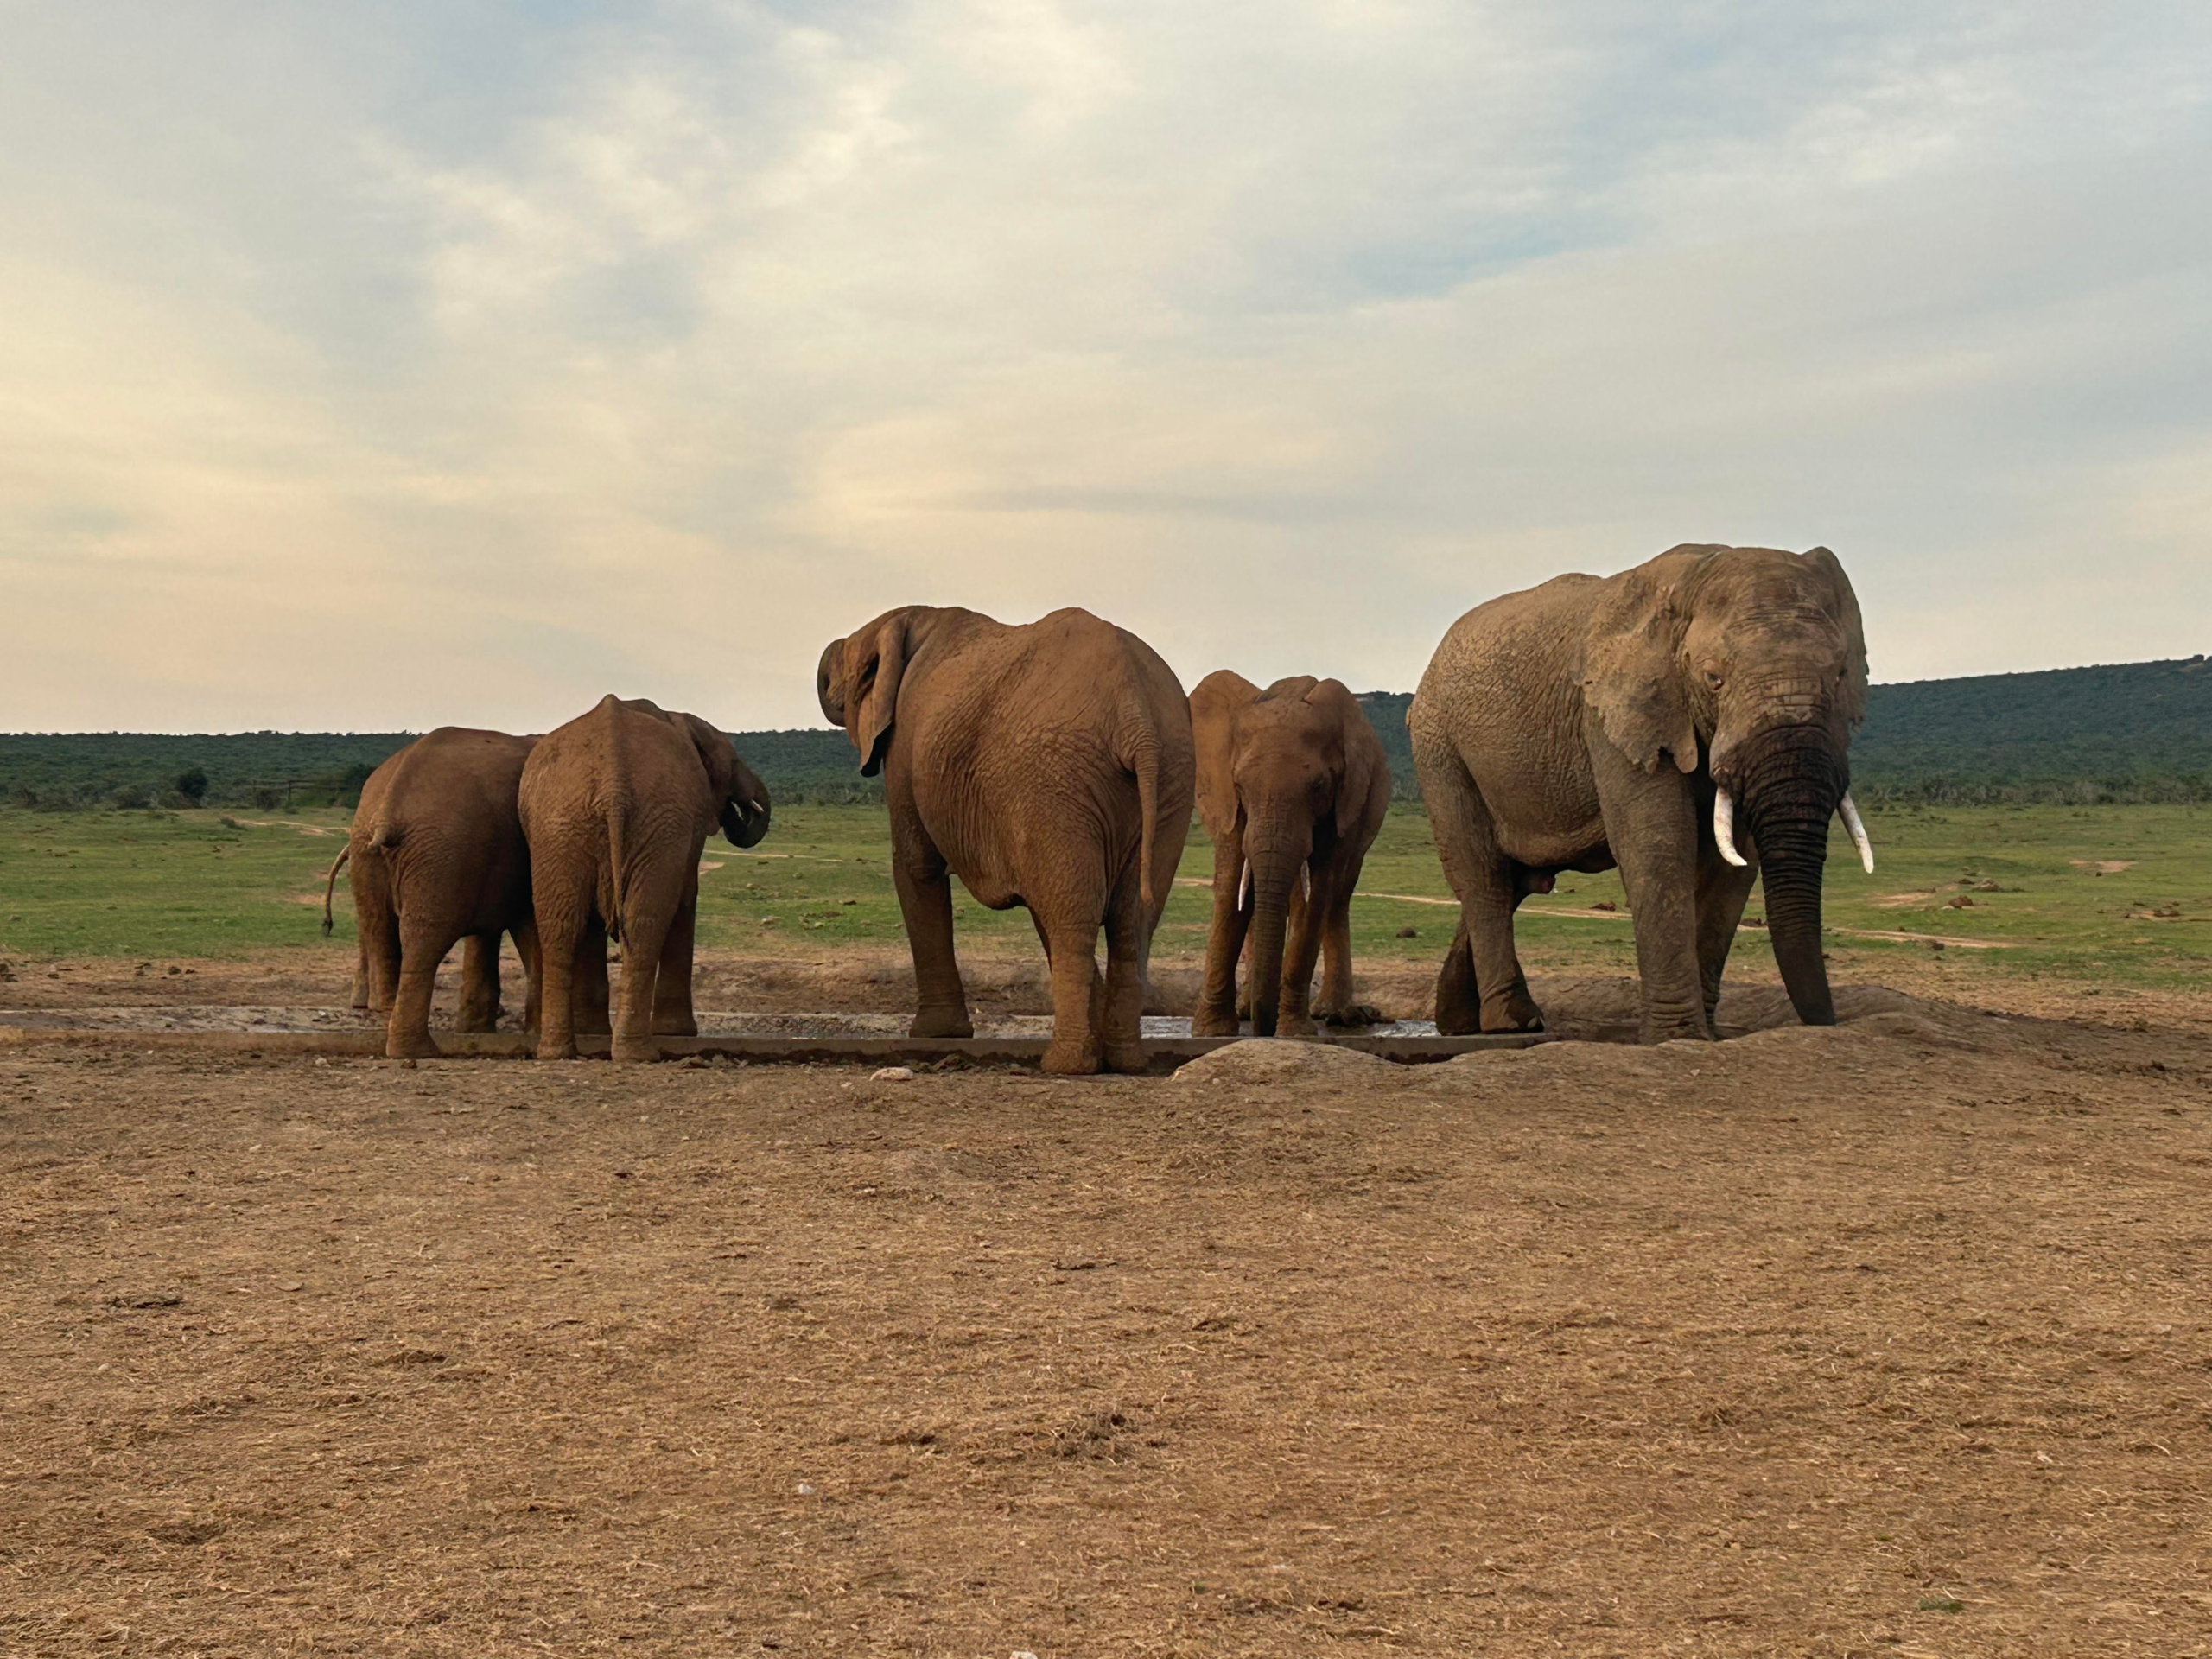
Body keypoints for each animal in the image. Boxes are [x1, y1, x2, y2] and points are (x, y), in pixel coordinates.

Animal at [334, 727, 543, 1060]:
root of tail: (389, 806)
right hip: (442, 850)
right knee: (426, 934)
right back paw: (418, 1049)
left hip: (373, 848)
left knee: (381, 928)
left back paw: (390, 1025)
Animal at [518, 695, 770, 1062]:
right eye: (733, 761)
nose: (744, 807)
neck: (677, 717)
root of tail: (613, 786)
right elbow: (686, 896)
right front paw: (679, 1033)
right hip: (647, 822)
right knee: (644, 921)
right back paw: (638, 1053)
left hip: (559, 823)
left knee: (562, 923)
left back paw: (559, 1052)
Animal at [816, 605, 1195, 1075]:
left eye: (845, 667)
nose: (825, 660)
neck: (915, 617)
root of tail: (1135, 712)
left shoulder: (904, 746)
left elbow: (916, 865)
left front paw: (934, 1035)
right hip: (1171, 777)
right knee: (1131, 917)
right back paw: (1124, 1061)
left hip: (1055, 776)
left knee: (1072, 912)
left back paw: (1064, 1065)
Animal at [1189, 672, 1391, 1038]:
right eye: (1239, 785)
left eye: (1319, 786)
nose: (1263, 1029)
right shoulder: (1226, 801)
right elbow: (1231, 887)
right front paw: (1212, 1032)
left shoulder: (1342, 802)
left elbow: (1315, 895)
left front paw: (1295, 1032)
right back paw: (1247, 1008)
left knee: (1338, 897)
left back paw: (1338, 1014)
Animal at [1408, 543, 1873, 1044]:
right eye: (1714, 679)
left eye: (1841, 673)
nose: (1827, 1024)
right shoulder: (1617, 713)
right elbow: (1657, 843)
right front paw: (1678, 1038)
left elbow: (1734, 862)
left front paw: (1707, 1036)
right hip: (1440, 749)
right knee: (1484, 877)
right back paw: (1512, 1023)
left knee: (1514, 880)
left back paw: (1457, 1024)